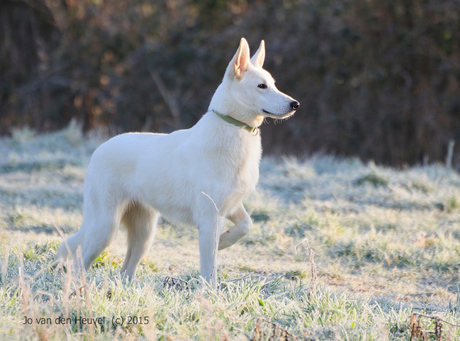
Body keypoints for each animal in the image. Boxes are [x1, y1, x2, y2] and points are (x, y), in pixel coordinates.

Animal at [57, 37, 300, 286]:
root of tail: (99, 149)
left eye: (273, 84)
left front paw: (223, 242)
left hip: (144, 234)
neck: (233, 128)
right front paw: (211, 291)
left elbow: (246, 226)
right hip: (104, 227)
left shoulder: (230, 207)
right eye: (261, 86)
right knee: (79, 264)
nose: (295, 104)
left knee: (125, 270)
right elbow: (209, 270)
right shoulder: (209, 220)